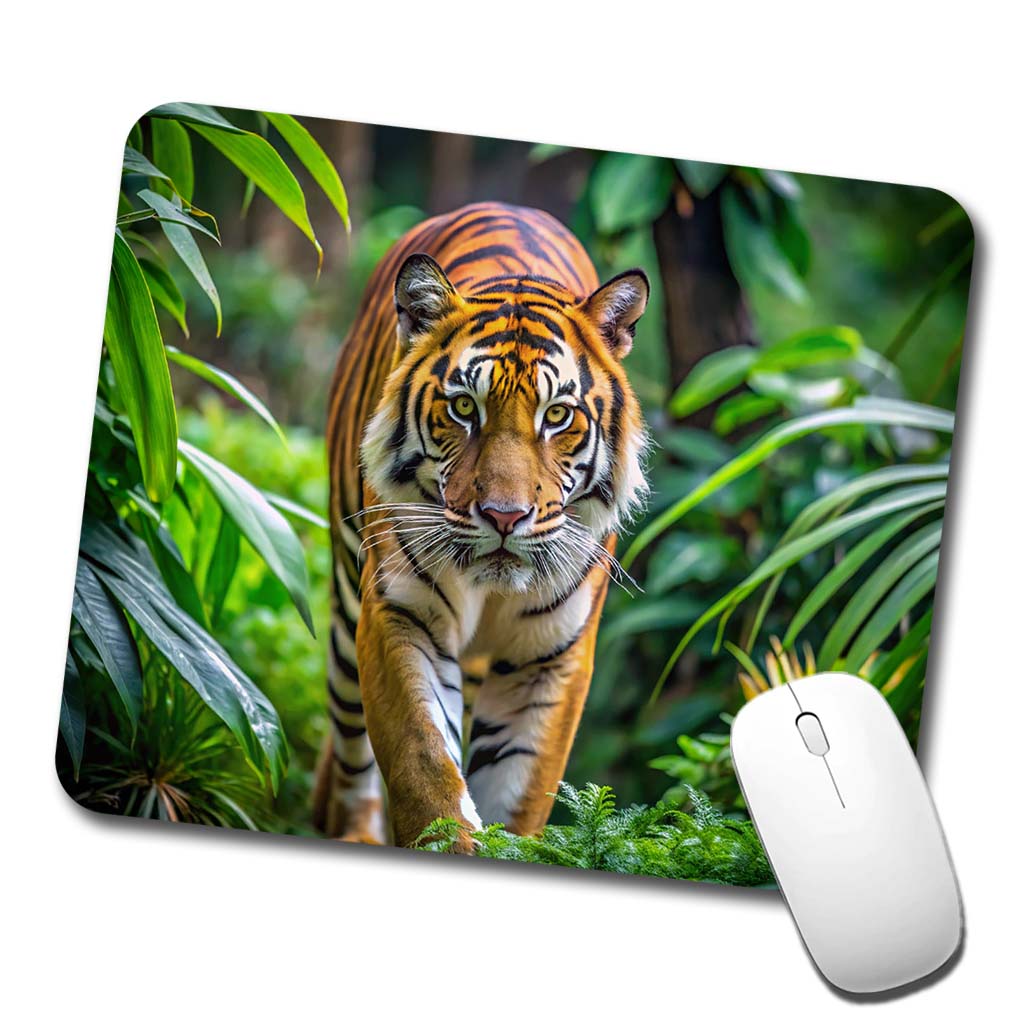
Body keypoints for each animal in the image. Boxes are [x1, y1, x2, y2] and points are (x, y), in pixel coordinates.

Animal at [312, 201, 649, 852]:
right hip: (344, 616)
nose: (504, 516)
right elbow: (424, 763)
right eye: (464, 407)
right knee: (350, 750)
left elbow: (518, 797)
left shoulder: (551, 660)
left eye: (558, 415)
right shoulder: (401, 614)